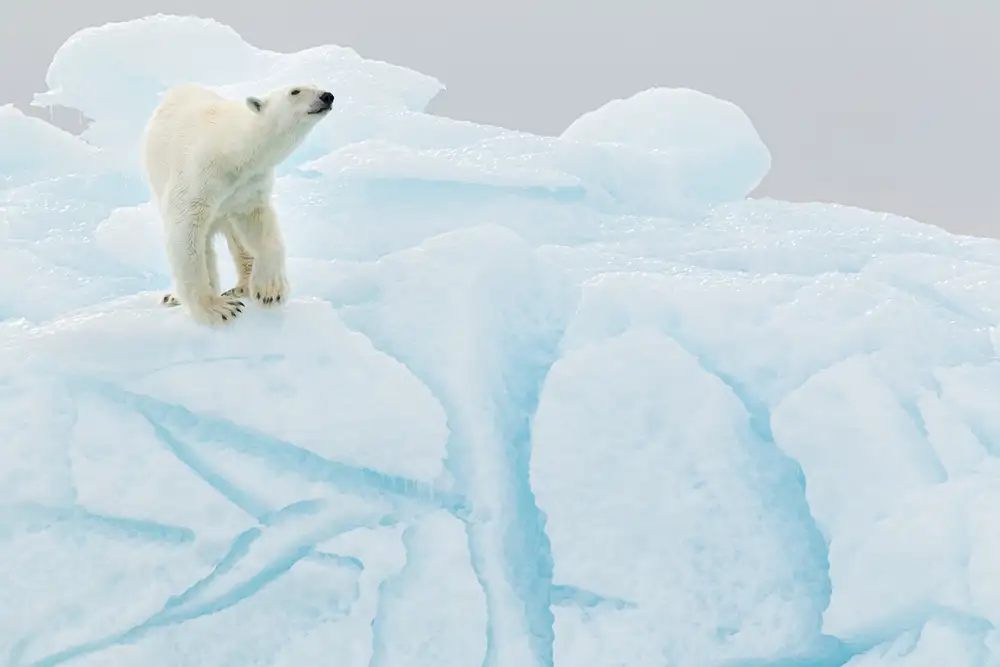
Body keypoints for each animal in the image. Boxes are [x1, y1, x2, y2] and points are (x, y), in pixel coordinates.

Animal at [141, 82, 335, 325]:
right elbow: (187, 233)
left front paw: (270, 291)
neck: (230, 150)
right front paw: (217, 309)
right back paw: (176, 296)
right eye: (295, 91)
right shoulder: (198, 176)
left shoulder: (248, 185)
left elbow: (260, 225)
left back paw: (243, 287)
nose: (327, 96)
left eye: (317, 86)